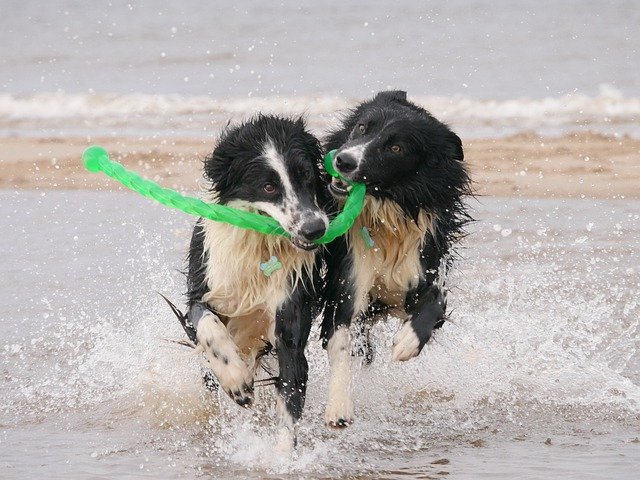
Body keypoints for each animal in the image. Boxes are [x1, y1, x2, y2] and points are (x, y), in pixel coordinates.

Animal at [320, 91, 470, 428]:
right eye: (362, 127)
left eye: (396, 148)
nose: (343, 161)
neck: (387, 208)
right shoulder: (349, 273)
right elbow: (341, 337)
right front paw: (338, 407)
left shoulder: (425, 259)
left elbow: (435, 301)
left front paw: (406, 342)